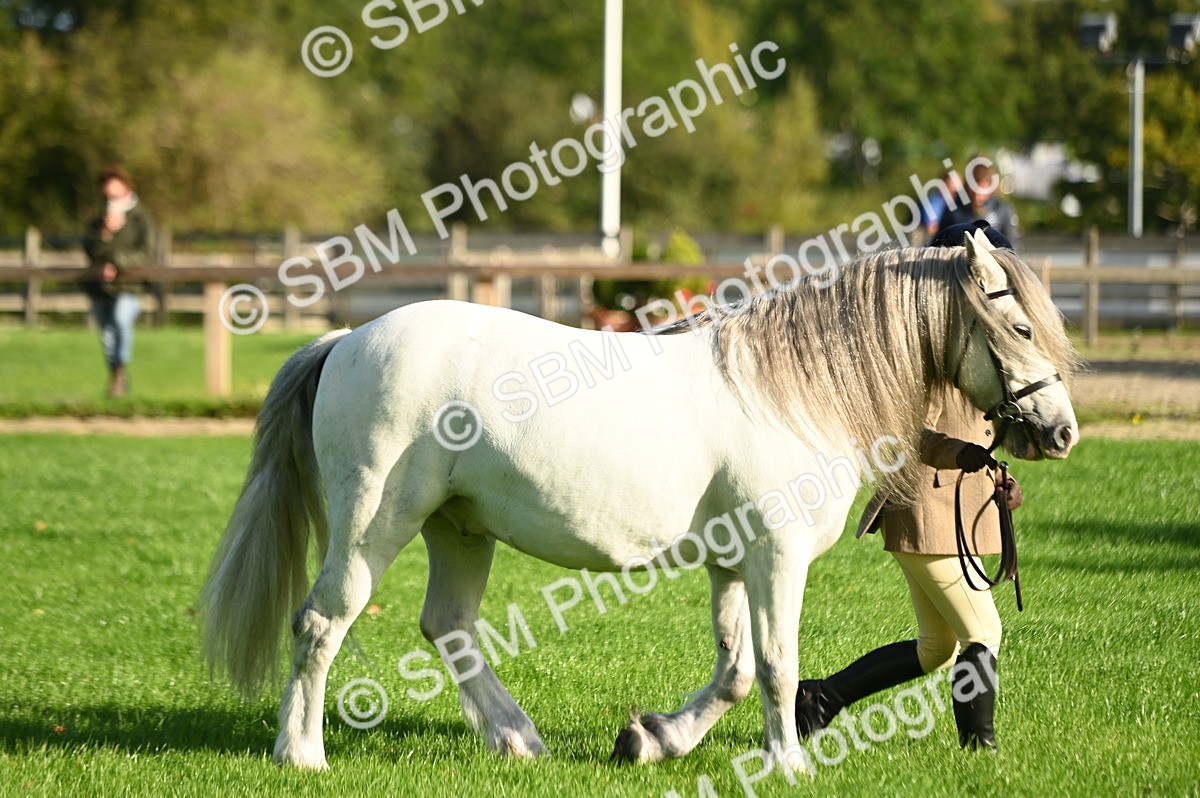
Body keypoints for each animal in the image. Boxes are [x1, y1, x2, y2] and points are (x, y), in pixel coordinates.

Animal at [200, 230, 1080, 771]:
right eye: (1022, 330)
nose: (1062, 430)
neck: (791, 392)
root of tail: (345, 340)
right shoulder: (777, 556)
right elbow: (776, 664)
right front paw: (790, 762)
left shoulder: (731, 562)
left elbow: (734, 671)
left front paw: (652, 740)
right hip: (374, 523)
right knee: (321, 622)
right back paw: (302, 753)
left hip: (459, 528)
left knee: (447, 626)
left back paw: (516, 738)